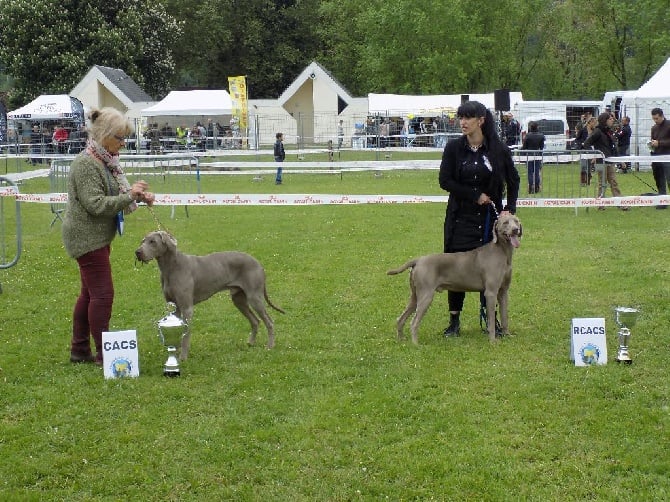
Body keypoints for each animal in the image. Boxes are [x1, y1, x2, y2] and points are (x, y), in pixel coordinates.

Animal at [135, 231, 284, 356]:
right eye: (143, 241)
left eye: (153, 241)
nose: (137, 252)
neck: (171, 268)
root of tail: (258, 263)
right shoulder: (174, 307)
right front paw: (174, 352)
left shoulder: (187, 308)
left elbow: (186, 334)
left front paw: (183, 357)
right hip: (238, 299)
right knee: (255, 321)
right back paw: (251, 343)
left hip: (254, 298)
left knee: (269, 322)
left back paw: (270, 346)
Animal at [388, 212, 524, 346]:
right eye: (505, 222)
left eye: (516, 221)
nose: (515, 230)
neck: (502, 252)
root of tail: (418, 260)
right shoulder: (490, 292)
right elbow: (490, 320)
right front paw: (492, 341)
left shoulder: (503, 292)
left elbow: (505, 316)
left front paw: (507, 335)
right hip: (426, 295)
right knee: (414, 322)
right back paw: (416, 345)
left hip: (415, 295)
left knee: (400, 319)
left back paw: (401, 340)